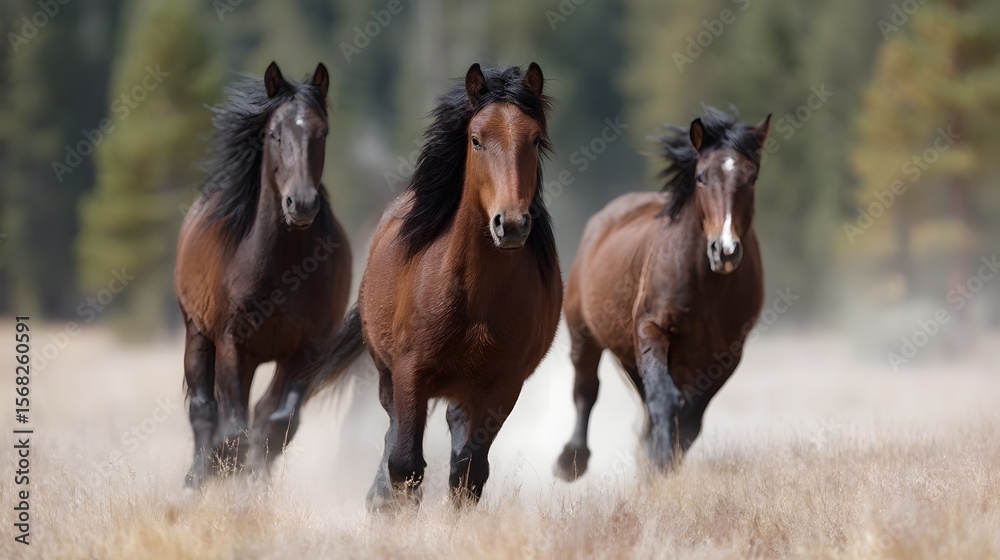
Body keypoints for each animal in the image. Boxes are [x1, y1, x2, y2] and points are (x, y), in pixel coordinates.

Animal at [174, 61, 352, 488]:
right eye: (274, 133)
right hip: (198, 333)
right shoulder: (232, 346)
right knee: (204, 408)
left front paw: (253, 487)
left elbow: (275, 424)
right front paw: (225, 476)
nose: (300, 204)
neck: (281, 270)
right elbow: (233, 428)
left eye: (321, 132)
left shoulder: (306, 353)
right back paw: (196, 477)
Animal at [314, 63, 562, 510]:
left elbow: (468, 474)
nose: (511, 224)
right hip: (388, 377)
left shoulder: (502, 386)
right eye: (476, 139)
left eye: (535, 139)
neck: (475, 297)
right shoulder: (410, 372)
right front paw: (388, 506)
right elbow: (405, 464)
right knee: (392, 435)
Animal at [553, 107, 770, 480]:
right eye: (701, 177)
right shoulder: (650, 329)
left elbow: (690, 419)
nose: (725, 250)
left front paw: (658, 463)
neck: (708, 288)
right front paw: (658, 460)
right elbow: (664, 401)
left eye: (752, 177)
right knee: (586, 389)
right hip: (584, 332)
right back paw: (571, 461)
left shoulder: (727, 354)